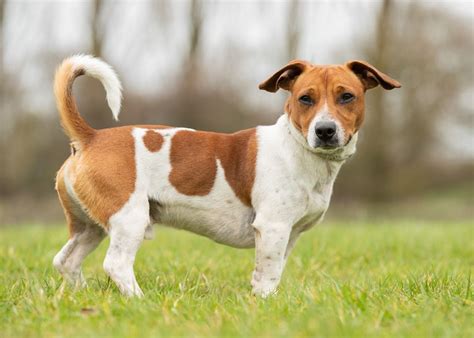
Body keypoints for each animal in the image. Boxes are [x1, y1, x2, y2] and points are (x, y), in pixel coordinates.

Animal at [52, 54, 400, 296]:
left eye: (346, 96)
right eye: (305, 98)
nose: (325, 130)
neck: (296, 150)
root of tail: (91, 137)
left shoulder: (288, 235)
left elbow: (270, 274)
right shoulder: (272, 228)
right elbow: (267, 276)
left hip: (89, 228)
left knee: (66, 261)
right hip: (129, 219)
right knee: (117, 265)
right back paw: (139, 299)